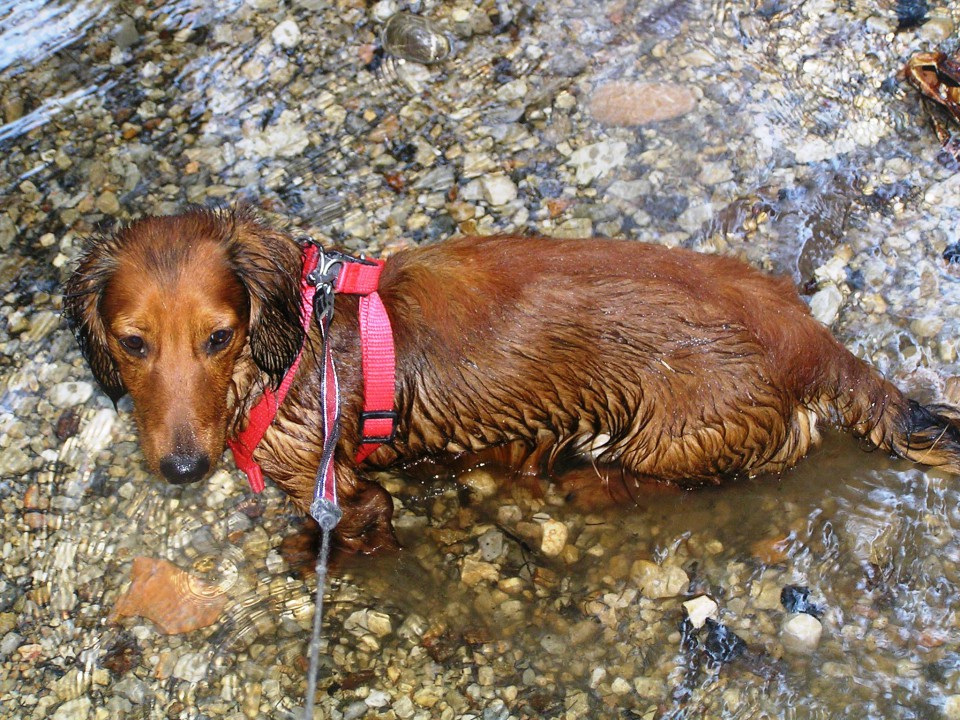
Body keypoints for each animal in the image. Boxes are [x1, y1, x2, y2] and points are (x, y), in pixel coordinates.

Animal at [65, 205, 960, 556]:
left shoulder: (342, 487)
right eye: (133, 343)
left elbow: (348, 531)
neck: (290, 352)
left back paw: (587, 482)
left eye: (218, 337)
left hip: (679, 432)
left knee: (659, 478)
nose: (183, 470)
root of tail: (807, 338)